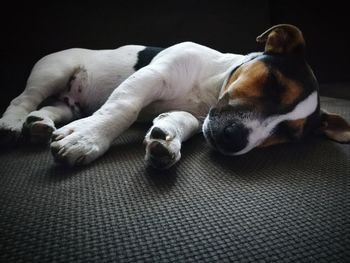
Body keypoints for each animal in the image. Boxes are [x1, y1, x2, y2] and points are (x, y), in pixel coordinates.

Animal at [0, 24, 348, 169]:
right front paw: (87, 141)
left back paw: (41, 124)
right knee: (24, 99)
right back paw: (14, 123)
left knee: (53, 109)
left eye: (288, 134)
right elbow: (122, 108)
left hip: (68, 103)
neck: (210, 88)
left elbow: (180, 123)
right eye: (272, 82)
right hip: (54, 71)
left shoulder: (196, 117)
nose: (233, 139)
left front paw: (167, 142)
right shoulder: (151, 77)